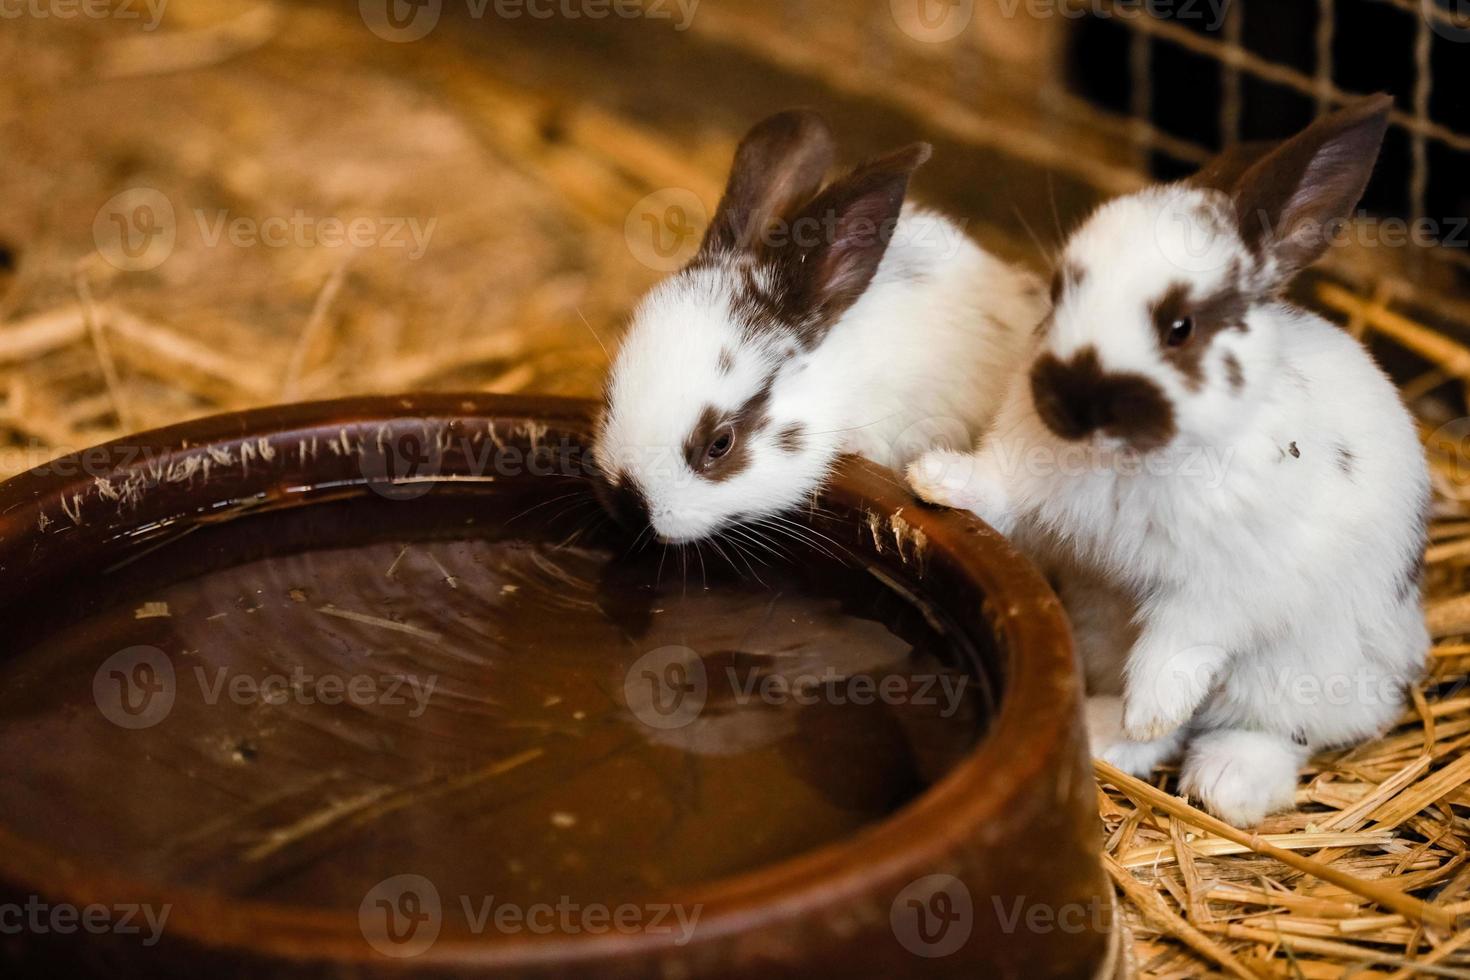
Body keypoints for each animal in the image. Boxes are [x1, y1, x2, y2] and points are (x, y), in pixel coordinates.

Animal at [911, 95, 1428, 828]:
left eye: (1179, 326)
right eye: (1059, 292)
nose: (1071, 405)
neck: (1125, 461)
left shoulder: (1218, 591)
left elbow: (1178, 651)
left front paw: (1151, 708)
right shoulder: (1028, 480)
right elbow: (995, 489)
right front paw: (934, 478)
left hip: (1298, 673)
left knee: (1274, 731)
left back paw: (1225, 780)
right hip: (1103, 633)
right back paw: (1105, 734)